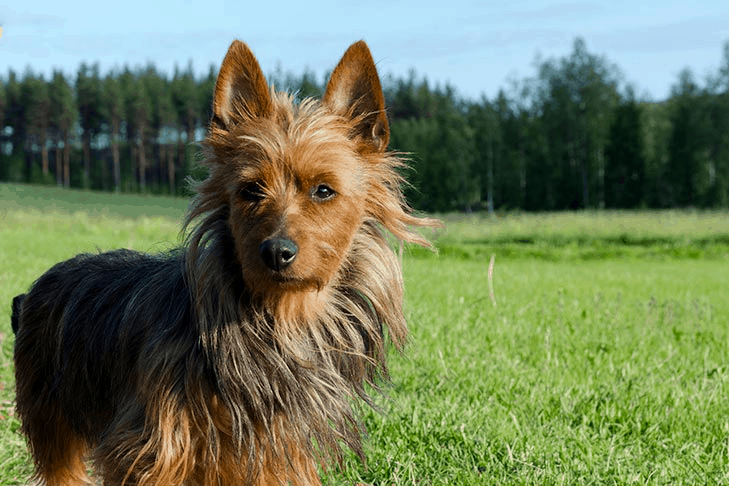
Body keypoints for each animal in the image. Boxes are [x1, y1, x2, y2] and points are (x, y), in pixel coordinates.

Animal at [11, 39, 438, 484]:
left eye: (324, 190)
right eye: (251, 190)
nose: (276, 251)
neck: (278, 322)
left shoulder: (275, 452)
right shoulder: (151, 448)